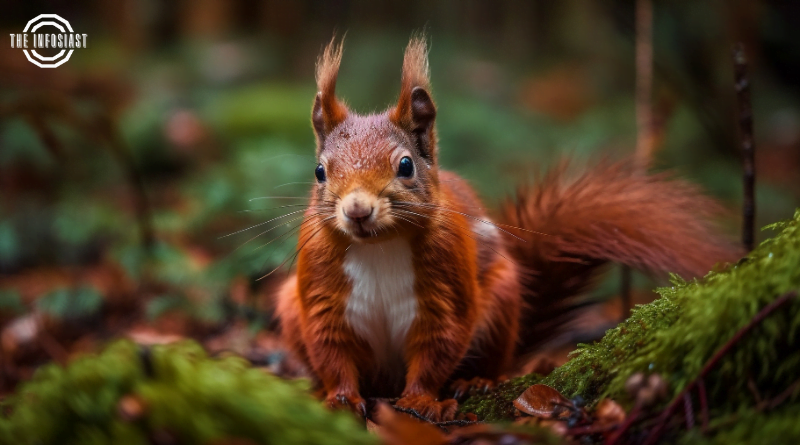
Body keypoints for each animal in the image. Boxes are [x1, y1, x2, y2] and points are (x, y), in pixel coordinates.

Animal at [274, 35, 736, 420]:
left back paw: (473, 381)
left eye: (405, 165)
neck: (379, 247)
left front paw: (421, 399)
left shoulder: (447, 287)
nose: (357, 210)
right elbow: (332, 351)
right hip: (290, 306)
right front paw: (339, 397)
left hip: (501, 302)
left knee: (488, 361)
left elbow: (438, 346)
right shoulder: (321, 294)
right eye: (319, 171)